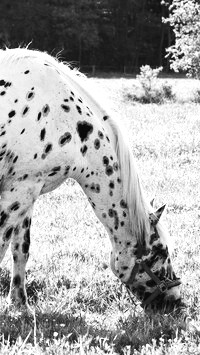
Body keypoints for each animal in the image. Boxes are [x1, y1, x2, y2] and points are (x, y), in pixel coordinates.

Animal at [0, 46, 184, 314]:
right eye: (160, 251)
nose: (176, 299)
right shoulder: (18, 191)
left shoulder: (28, 190)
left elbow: (21, 249)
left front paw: (20, 305)